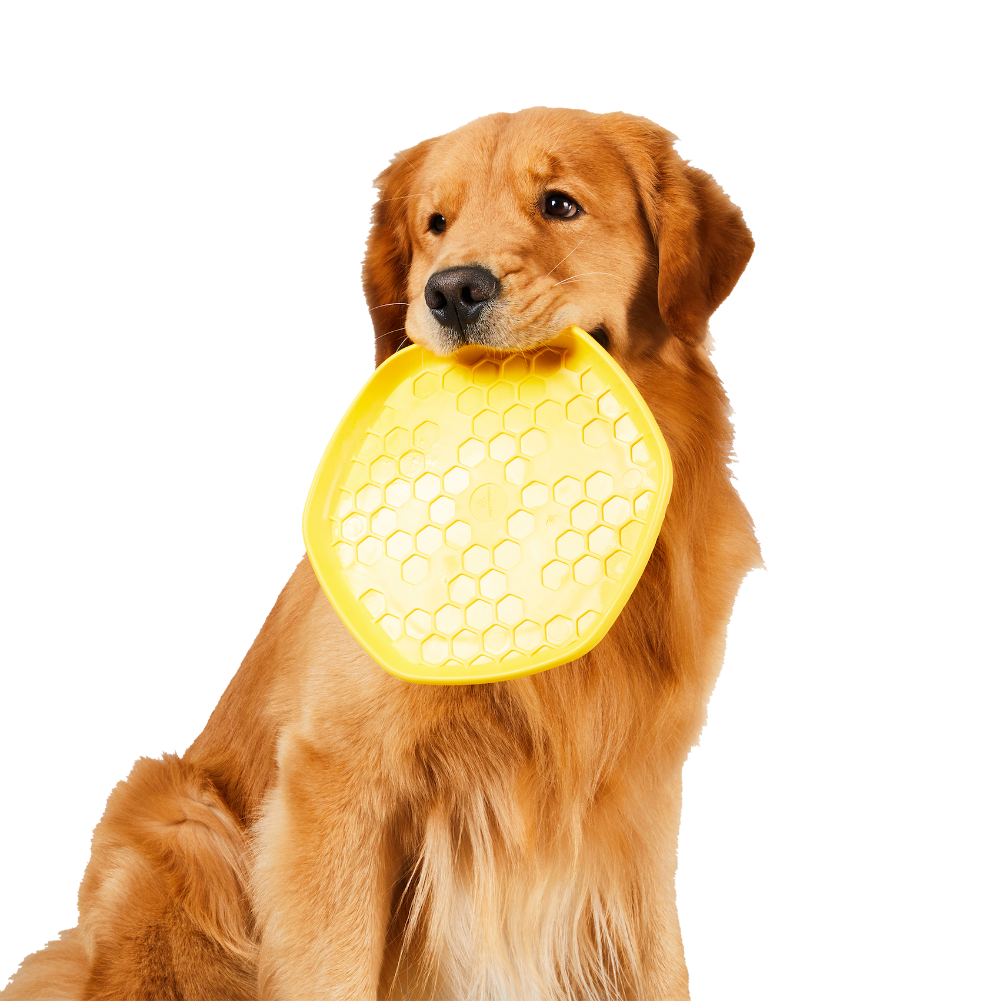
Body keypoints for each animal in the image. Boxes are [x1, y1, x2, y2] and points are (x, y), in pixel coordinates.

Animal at [7, 105, 760, 996]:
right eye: (435, 223)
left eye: (560, 204)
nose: (453, 289)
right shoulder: (334, 776)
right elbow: (330, 969)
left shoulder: (636, 805)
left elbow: (655, 963)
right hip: (175, 812)